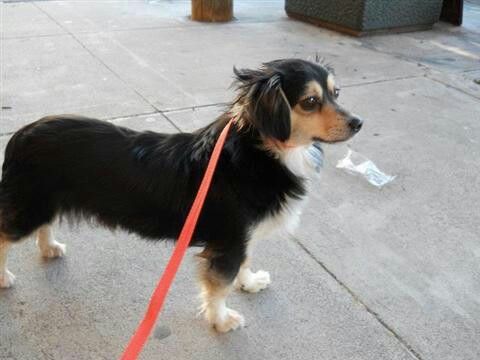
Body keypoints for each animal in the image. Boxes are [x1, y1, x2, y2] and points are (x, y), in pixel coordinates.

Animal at [0, 59, 360, 332]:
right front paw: (221, 320)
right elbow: (220, 286)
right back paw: (3, 276)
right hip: (29, 207)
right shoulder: (229, 242)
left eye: (336, 93)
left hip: (43, 202)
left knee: (45, 225)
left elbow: (244, 265)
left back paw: (49, 248)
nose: (358, 122)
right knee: (5, 236)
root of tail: (20, 135)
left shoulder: (242, 239)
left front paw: (249, 282)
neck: (262, 151)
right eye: (309, 102)